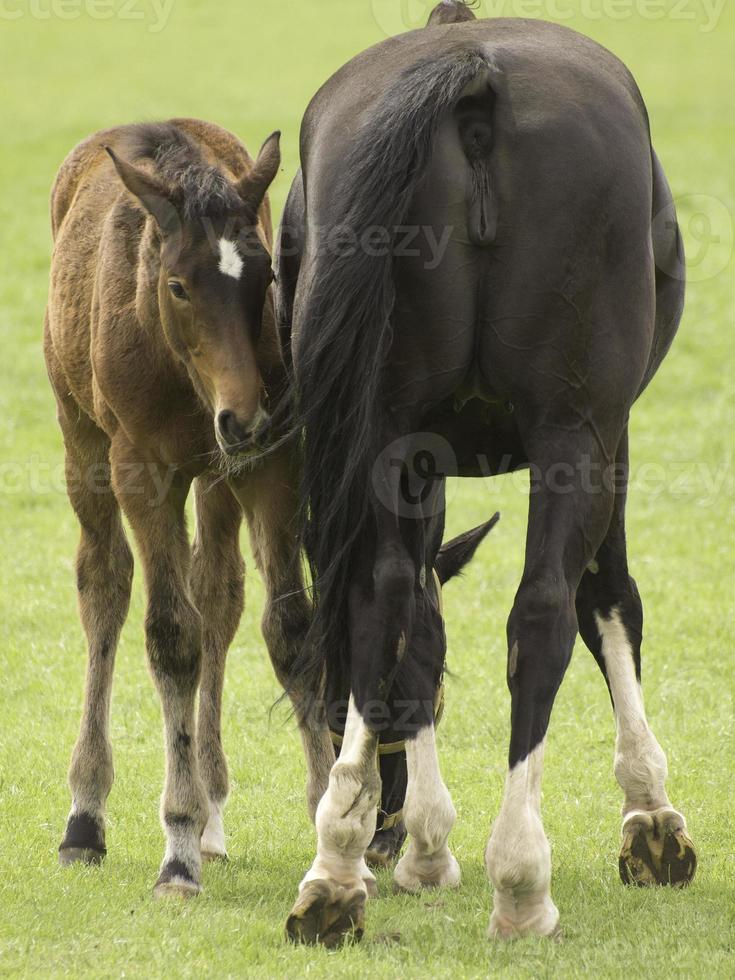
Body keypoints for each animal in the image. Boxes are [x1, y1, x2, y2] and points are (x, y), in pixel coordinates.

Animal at [44, 117, 332, 896]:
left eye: (266, 279)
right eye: (177, 285)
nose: (242, 417)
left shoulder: (270, 461)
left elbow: (289, 631)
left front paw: (335, 821)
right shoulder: (142, 469)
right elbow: (170, 637)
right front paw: (176, 846)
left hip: (216, 477)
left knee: (219, 596)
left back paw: (213, 815)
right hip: (82, 439)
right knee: (104, 585)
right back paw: (86, 817)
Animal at [278, 1, 700, 948]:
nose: (389, 822)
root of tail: (472, 68)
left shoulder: (411, 457)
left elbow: (417, 632)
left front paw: (415, 844)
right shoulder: (608, 435)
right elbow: (609, 600)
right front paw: (648, 811)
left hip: (385, 430)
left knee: (379, 598)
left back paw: (334, 873)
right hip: (573, 434)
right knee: (541, 613)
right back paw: (518, 879)